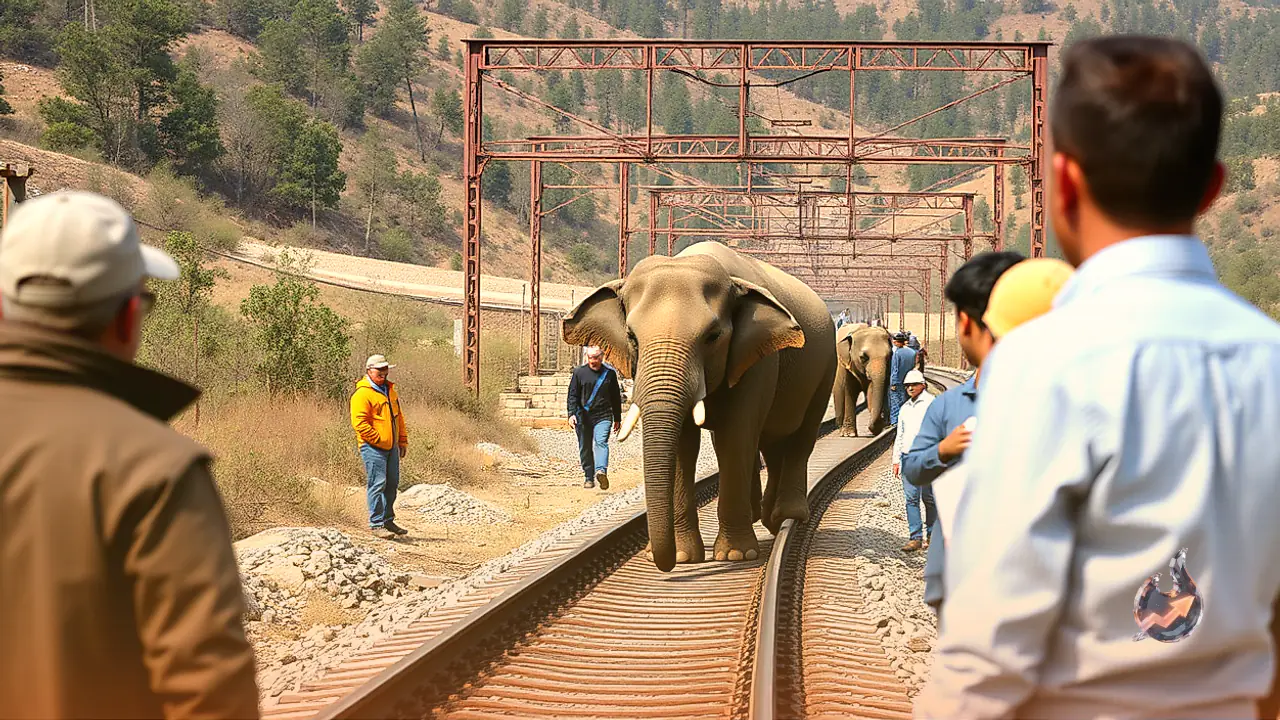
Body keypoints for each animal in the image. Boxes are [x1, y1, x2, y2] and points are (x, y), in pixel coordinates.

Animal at [563, 241, 837, 572]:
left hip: (826, 368)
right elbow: (684, 446)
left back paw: (787, 517)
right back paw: (767, 518)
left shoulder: (757, 361)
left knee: (800, 438)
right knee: (771, 444)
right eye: (631, 336)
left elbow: (735, 437)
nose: (657, 558)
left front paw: (736, 555)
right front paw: (684, 557)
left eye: (713, 336)